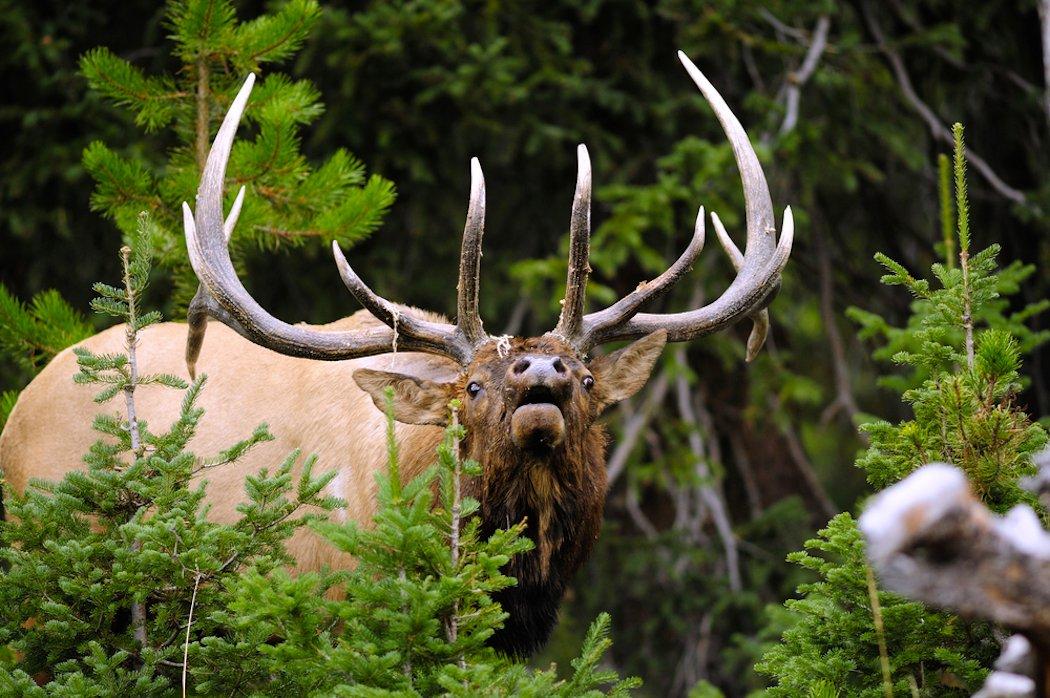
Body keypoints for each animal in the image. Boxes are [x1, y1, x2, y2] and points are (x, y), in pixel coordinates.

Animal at [0, 51, 789, 654]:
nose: (543, 371)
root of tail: (21, 404)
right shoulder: (324, 616)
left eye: (591, 380)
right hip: (43, 580)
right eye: (471, 387)